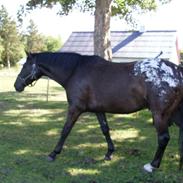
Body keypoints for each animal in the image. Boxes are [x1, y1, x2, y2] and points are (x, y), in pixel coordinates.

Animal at [13, 52, 183, 172]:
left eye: (25, 66)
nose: (16, 86)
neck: (75, 71)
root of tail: (177, 71)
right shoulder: (99, 110)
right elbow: (105, 130)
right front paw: (109, 153)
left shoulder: (75, 108)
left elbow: (65, 130)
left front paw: (53, 153)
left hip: (160, 115)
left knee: (163, 138)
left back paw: (152, 165)